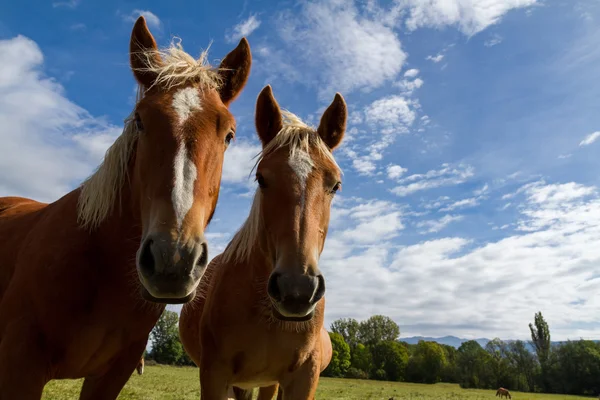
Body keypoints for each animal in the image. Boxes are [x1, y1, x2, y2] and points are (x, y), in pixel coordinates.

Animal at [0, 15, 251, 400]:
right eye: (140, 120)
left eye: (229, 134)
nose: (173, 260)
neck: (102, 267)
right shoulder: (19, 368)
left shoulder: (113, 373)